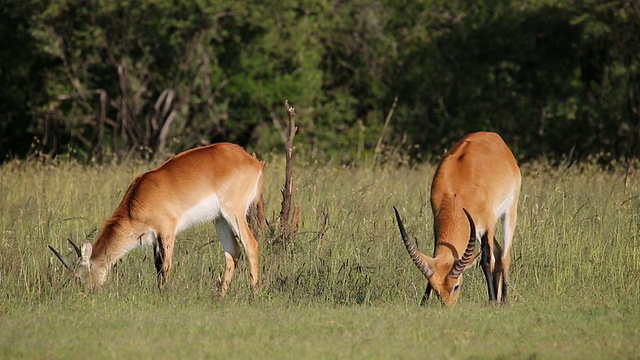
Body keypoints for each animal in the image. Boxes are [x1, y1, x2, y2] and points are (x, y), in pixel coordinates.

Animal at [48, 142, 264, 296]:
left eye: (79, 277)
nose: (85, 295)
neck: (135, 205)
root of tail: (253, 161)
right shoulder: (153, 239)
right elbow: (158, 267)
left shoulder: (167, 230)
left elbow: (165, 265)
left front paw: (164, 296)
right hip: (219, 219)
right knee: (233, 251)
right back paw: (220, 296)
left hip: (234, 213)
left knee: (251, 245)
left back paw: (253, 295)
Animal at [392, 132, 524, 306]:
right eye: (436, 290)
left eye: (456, 286)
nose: (448, 307)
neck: (457, 192)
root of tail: (493, 136)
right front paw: (423, 302)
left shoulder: (488, 224)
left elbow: (486, 260)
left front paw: (491, 301)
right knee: (498, 250)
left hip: (509, 211)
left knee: (504, 257)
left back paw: (503, 300)